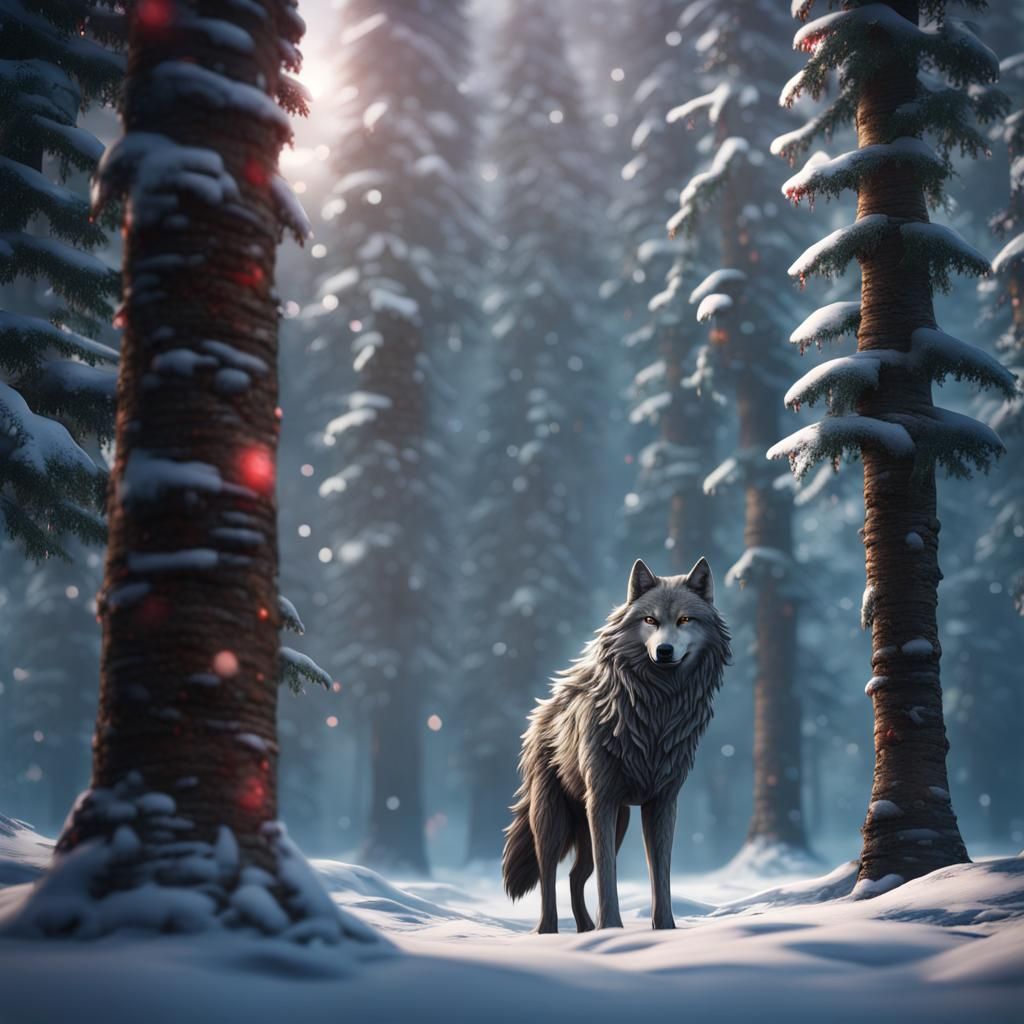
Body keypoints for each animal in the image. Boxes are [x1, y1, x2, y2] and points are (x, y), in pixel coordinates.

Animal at [502, 557, 731, 933]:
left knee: (575, 875)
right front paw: (611, 929)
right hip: (554, 819)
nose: (664, 651)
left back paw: (584, 929)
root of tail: (543, 708)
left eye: (685, 620)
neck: (657, 710)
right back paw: (548, 930)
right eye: (650, 620)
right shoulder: (602, 801)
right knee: (549, 873)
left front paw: (664, 929)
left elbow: (661, 873)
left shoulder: (662, 802)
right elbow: (607, 875)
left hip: (615, 821)